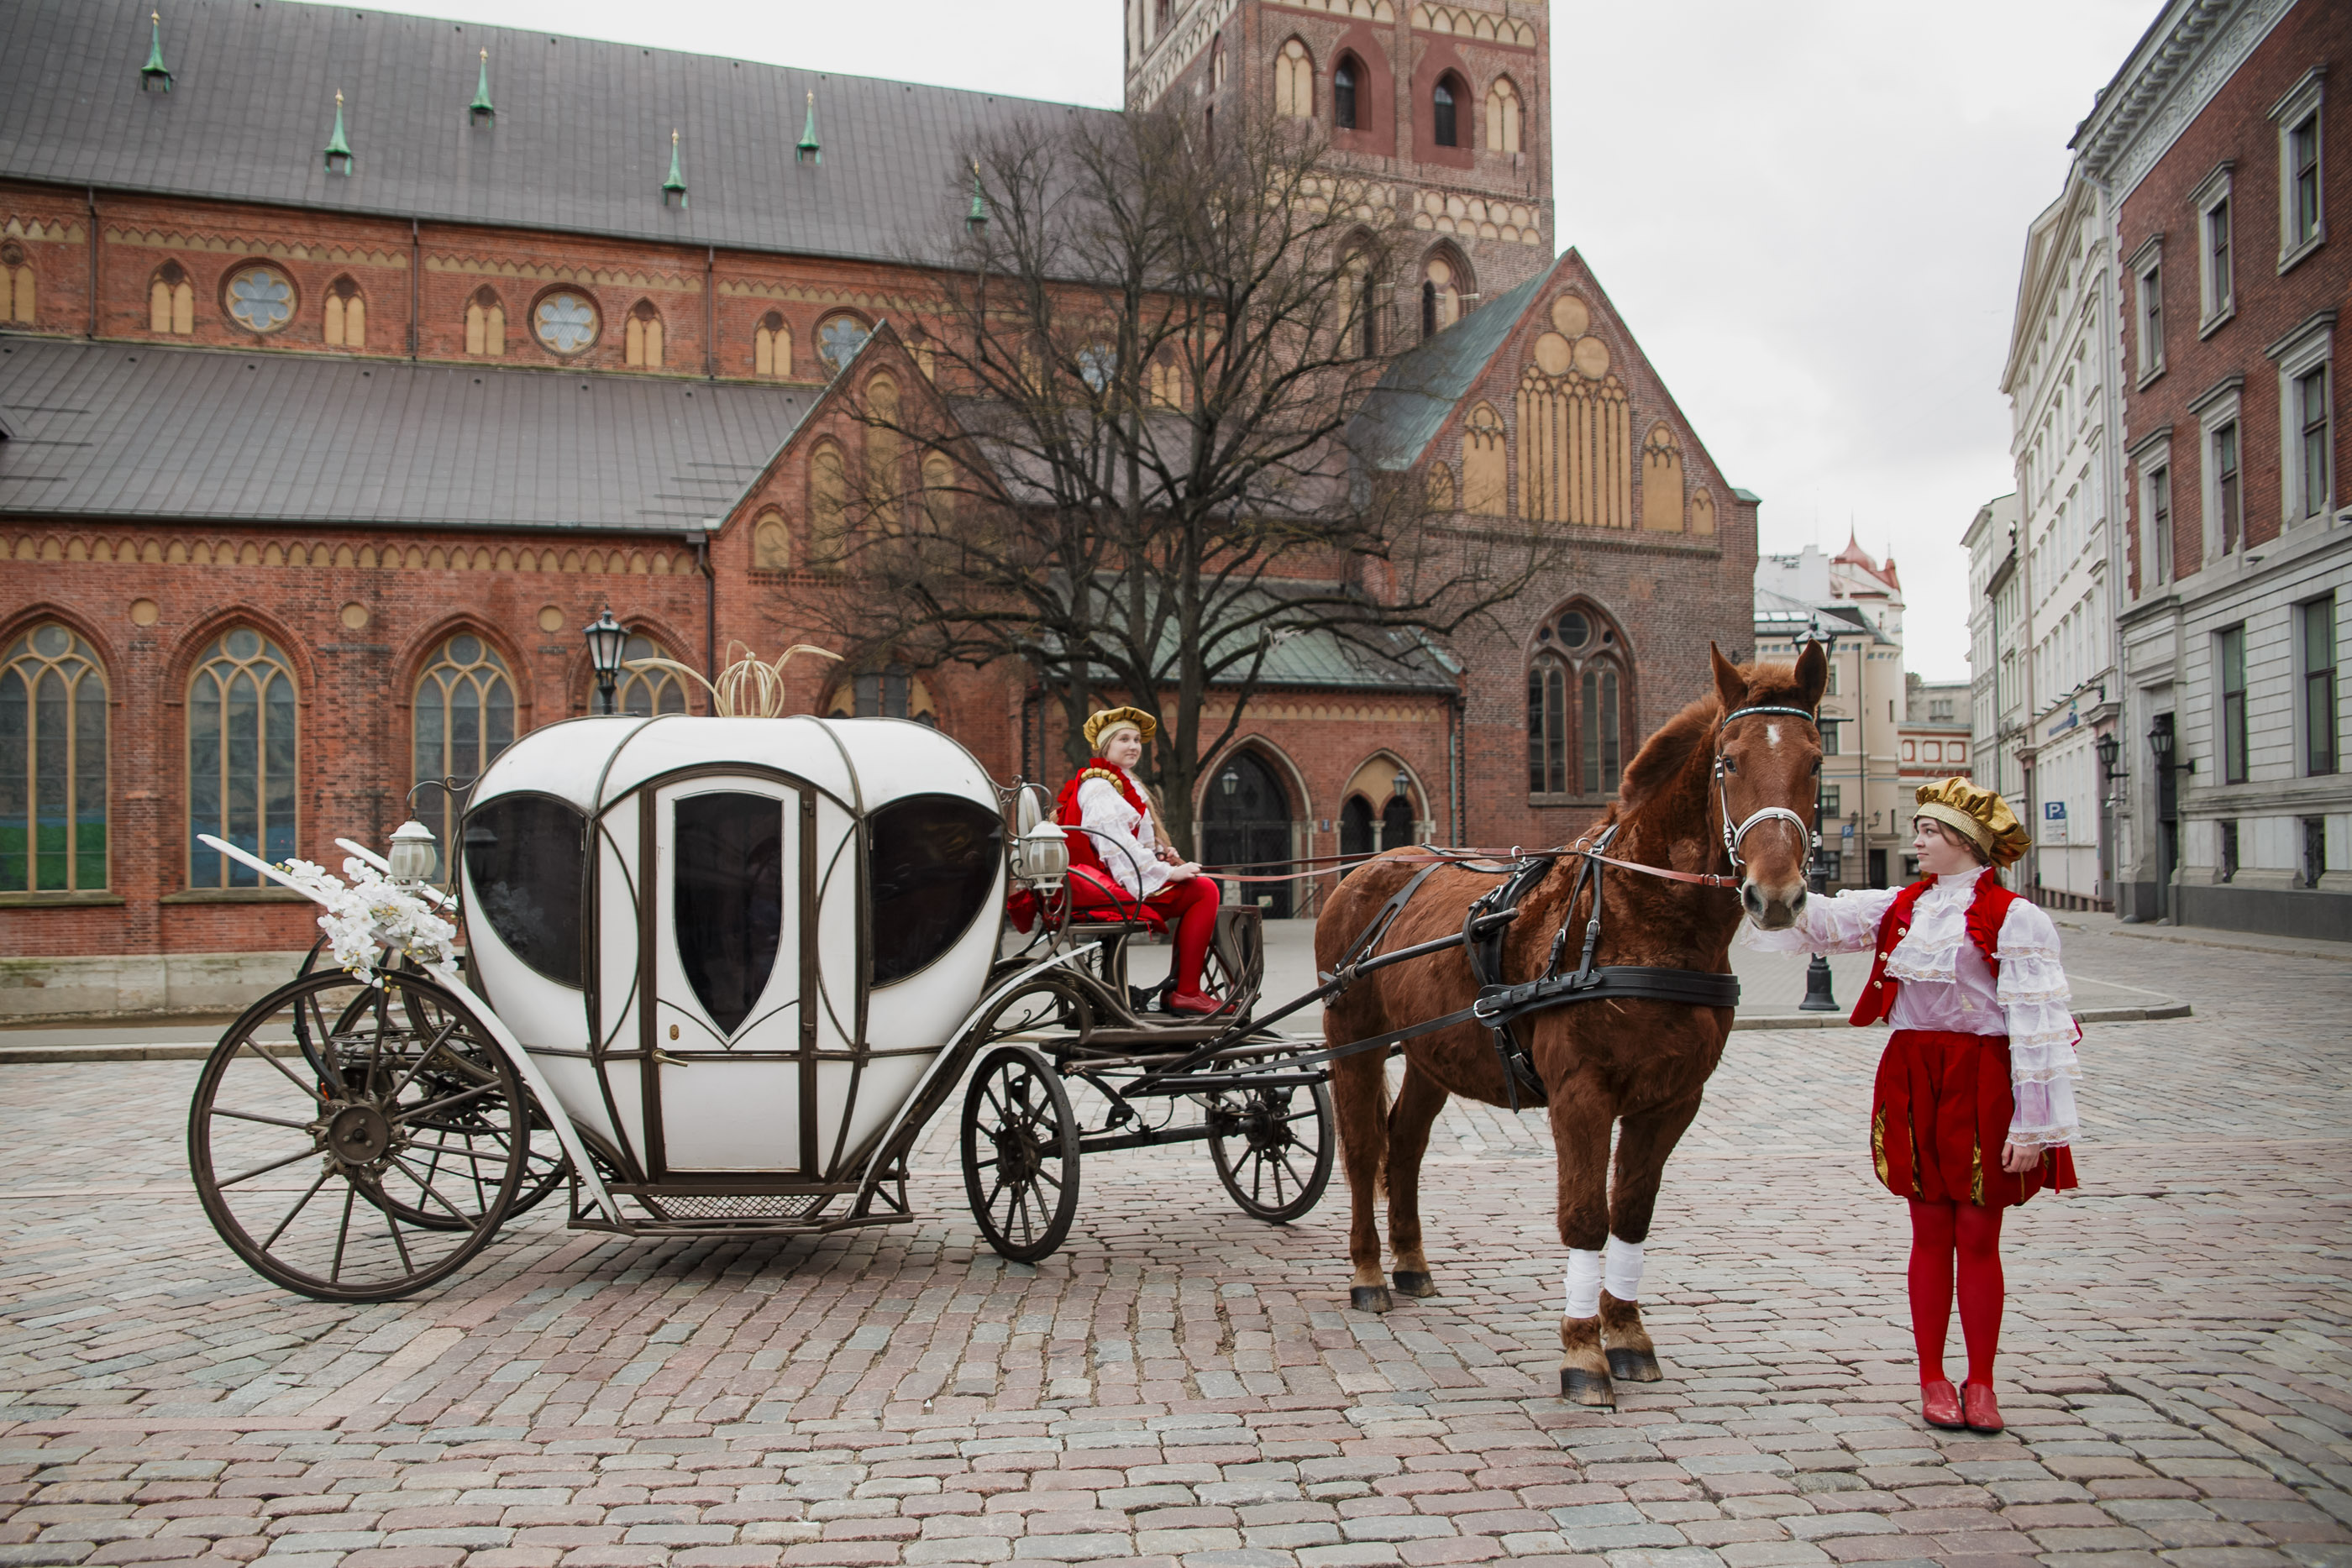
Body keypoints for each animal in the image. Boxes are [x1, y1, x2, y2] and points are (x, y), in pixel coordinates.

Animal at [1317, 643, 1824, 1401]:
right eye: (1729, 762)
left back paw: (1410, 1262)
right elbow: (1586, 1215)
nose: (1777, 894)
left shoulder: (1672, 1100)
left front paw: (1629, 1334)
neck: (1636, 920)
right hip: (1353, 1042)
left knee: (1402, 1145)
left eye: (1816, 761)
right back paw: (1369, 1269)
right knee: (1361, 1151)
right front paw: (1583, 1349)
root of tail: (1370, 867)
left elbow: (1632, 1213)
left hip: (1434, 1051)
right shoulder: (1581, 1093)